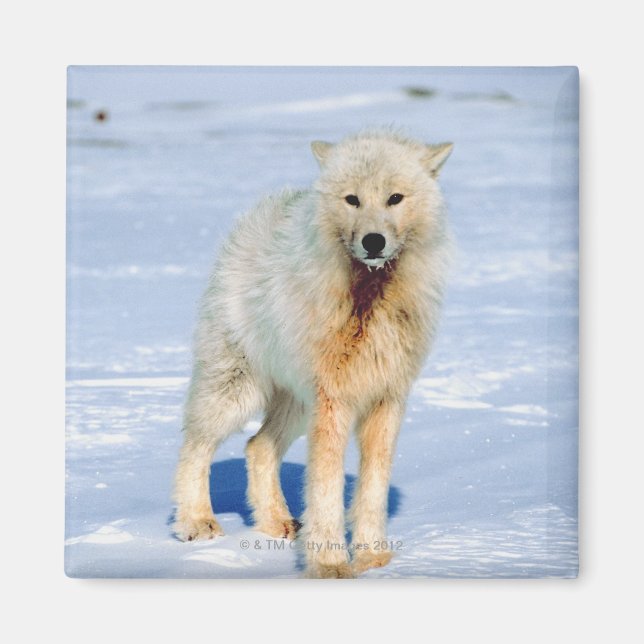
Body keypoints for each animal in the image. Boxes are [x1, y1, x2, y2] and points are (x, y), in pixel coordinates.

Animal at [173, 130, 453, 578]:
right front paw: (331, 564)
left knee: (257, 446)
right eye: (352, 199)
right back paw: (197, 523)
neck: (367, 301)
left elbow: (373, 488)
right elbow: (325, 489)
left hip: (297, 405)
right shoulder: (333, 403)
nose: (373, 241)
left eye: (395, 198)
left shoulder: (386, 399)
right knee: (194, 446)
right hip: (239, 393)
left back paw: (275, 523)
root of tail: (256, 217)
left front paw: (374, 558)